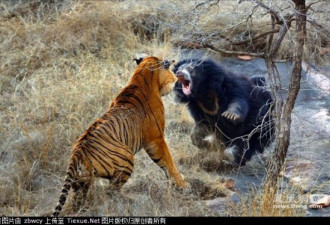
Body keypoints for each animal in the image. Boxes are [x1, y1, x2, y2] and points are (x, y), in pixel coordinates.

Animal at [52, 55, 189, 216]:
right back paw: (133, 199)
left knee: (79, 200)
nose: (176, 77)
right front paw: (181, 184)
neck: (141, 77)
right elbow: (168, 161)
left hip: (81, 182)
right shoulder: (156, 139)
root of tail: (77, 152)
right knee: (111, 191)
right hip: (126, 158)